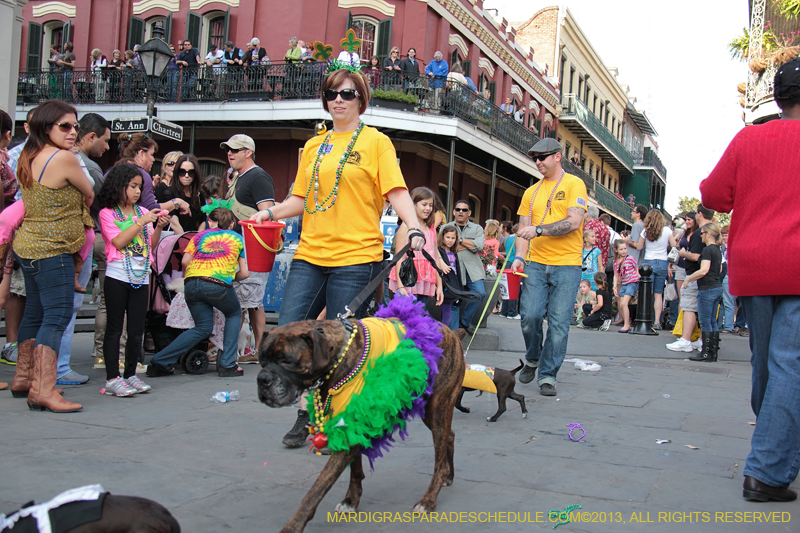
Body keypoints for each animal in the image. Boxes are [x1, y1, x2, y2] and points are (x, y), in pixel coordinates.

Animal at [256, 318, 468, 532]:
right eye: (262, 361)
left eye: (286, 360)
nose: (262, 379)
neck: (338, 358)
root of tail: (452, 333)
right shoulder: (350, 426)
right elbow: (355, 468)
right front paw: (351, 500)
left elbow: (316, 489)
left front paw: (293, 525)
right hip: (431, 412)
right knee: (450, 435)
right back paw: (448, 476)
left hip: (438, 406)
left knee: (439, 460)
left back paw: (429, 499)